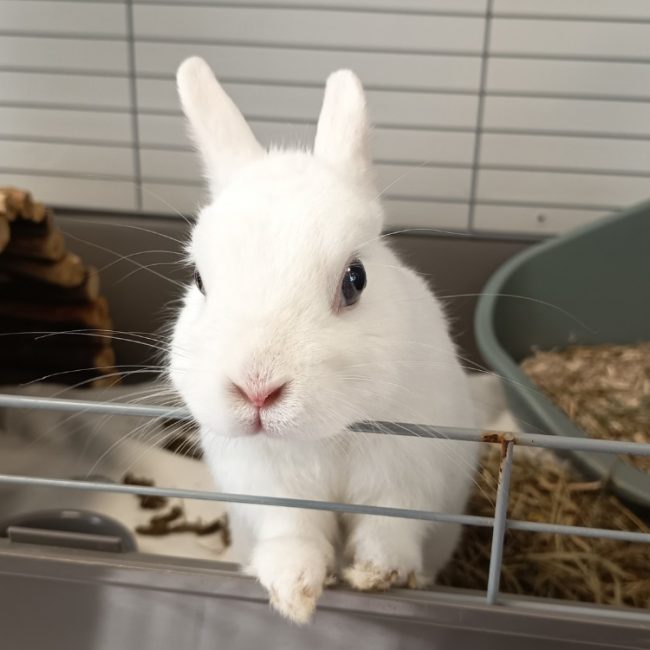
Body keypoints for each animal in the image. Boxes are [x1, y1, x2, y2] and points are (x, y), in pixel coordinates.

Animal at [168, 57, 479, 624]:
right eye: (199, 279)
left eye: (355, 280)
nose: (257, 390)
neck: (326, 437)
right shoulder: (271, 493)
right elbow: (293, 536)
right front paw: (292, 593)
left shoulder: (405, 482)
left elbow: (389, 530)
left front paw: (379, 575)